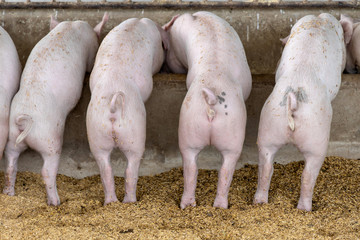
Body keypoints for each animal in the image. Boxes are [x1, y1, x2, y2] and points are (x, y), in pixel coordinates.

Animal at [2, 14, 108, 205]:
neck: (71, 25)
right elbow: (90, 63)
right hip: (50, 140)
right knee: (46, 170)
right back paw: (55, 202)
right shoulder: (90, 51)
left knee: (10, 163)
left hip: (12, 137)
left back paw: (9, 193)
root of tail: (24, 117)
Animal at [86, 17, 167, 205]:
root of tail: (113, 109)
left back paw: (111, 202)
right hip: (134, 133)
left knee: (106, 170)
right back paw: (130, 201)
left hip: (96, 133)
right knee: (131, 168)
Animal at [165, 12, 252, 209]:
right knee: (226, 169)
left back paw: (189, 205)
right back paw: (220, 206)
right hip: (232, 133)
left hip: (189, 125)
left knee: (191, 168)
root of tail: (211, 99)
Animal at [253, 13, 352, 212]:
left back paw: (259, 202)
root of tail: (293, 101)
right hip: (316, 137)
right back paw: (305, 209)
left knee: (266, 168)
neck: (318, 20)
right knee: (308, 175)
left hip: (268, 126)